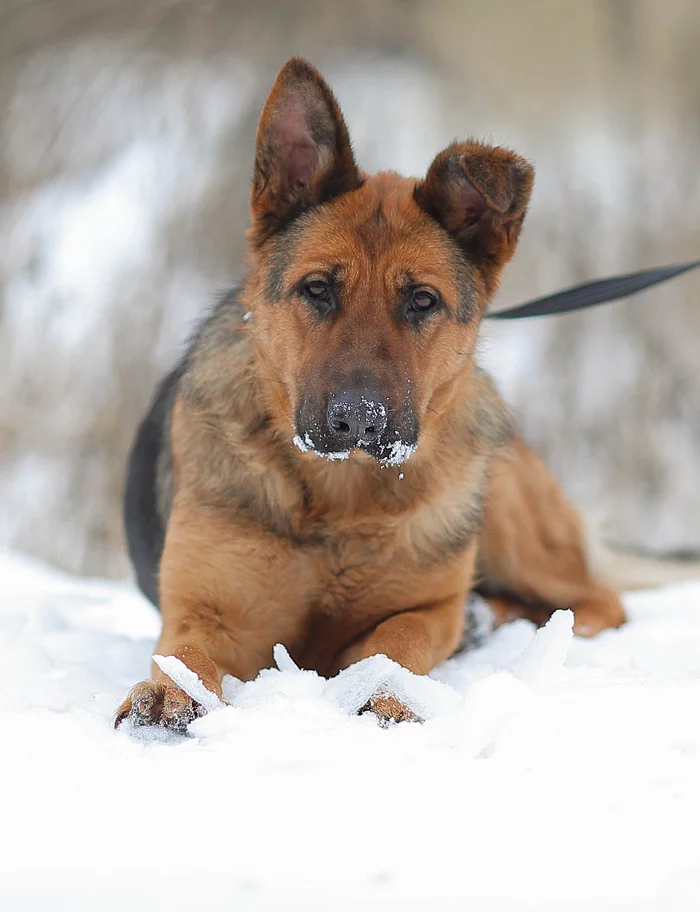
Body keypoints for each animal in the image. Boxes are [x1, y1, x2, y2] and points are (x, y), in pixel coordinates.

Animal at [115, 57, 624, 732]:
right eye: (317, 289)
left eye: (422, 301)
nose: (359, 420)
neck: (343, 499)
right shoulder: (207, 606)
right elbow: (185, 650)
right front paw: (171, 691)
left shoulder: (428, 608)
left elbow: (397, 638)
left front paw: (385, 690)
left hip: (509, 513)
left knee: (596, 600)